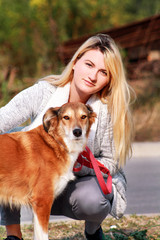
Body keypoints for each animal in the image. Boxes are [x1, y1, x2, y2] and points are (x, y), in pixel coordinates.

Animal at [0, 102, 95, 240]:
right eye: (66, 117)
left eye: (83, 117)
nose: (77, 132)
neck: (55, 143)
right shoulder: (42, 201)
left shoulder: (37, 206)